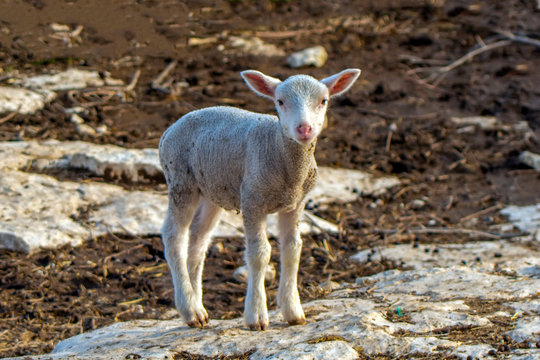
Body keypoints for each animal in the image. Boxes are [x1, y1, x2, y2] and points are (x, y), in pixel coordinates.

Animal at [160, 69, 362, 330]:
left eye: (324, 101)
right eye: (280, 101)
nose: (304, 129)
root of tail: (169, 130)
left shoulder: (295, 204)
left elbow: (292, 250)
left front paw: (293, 312)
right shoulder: (252, 199)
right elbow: (259, 254)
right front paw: (256, 316)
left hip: (212, 191)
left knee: (197, 242)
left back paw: (199, 309)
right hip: (180, 180)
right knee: (174, 237)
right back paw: (189, 310)